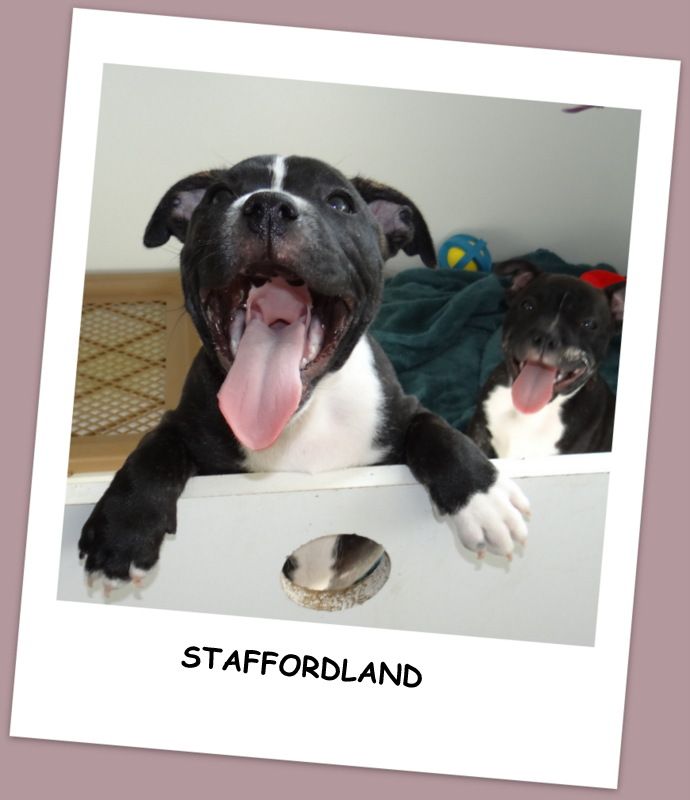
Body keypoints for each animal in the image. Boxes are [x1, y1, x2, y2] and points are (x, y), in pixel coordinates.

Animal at [78, 155, 530, 590]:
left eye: (340, 203)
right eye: (218, 196)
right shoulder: (186, 424)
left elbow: (437, 431)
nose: (267, 207)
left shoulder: (403, 410)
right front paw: (123, 531)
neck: (302, 419)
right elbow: (155, 449)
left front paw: (482, 497)